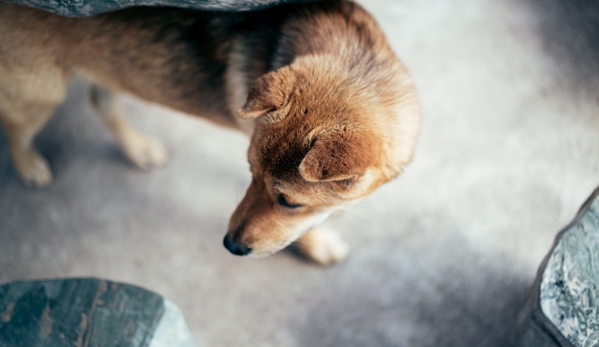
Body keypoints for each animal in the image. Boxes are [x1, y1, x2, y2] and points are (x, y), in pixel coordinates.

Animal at [0, 1, 420, 266]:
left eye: (288, 202)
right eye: (249, 174)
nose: (230, 246)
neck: (360, 64)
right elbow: (296, 230)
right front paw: (316, 243)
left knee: (100, 100)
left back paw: (139, 149)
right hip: (41, 93)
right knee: (15, 126)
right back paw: (30, 166)